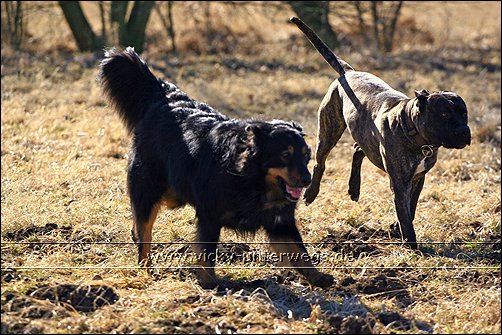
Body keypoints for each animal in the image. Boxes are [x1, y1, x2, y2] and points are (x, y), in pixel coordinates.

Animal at [97, 46, 334, 288]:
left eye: (306, 157)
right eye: (285, 156)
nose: (307, 181)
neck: (249, 179)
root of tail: (164, 101)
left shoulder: (281, 221)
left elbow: (299, 251)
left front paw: (318, 277)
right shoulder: (210, 215)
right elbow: (206, 252)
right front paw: (210, 283)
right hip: (148, 188)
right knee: (143, 233)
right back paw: (146, 271)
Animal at [290, 17, 470, 248]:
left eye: (464, 113)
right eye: (445, 115)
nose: (464, 131)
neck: (411, 128)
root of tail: (348, 73)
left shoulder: (417, 179)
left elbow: (411, 207)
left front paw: (397, 228)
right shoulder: (400, 182)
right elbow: (404, 211)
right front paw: (411, 242)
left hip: (362, 134)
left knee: (358, 149)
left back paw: (354, 188)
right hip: (329, 131)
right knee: (320, 163)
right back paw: (311, 193)